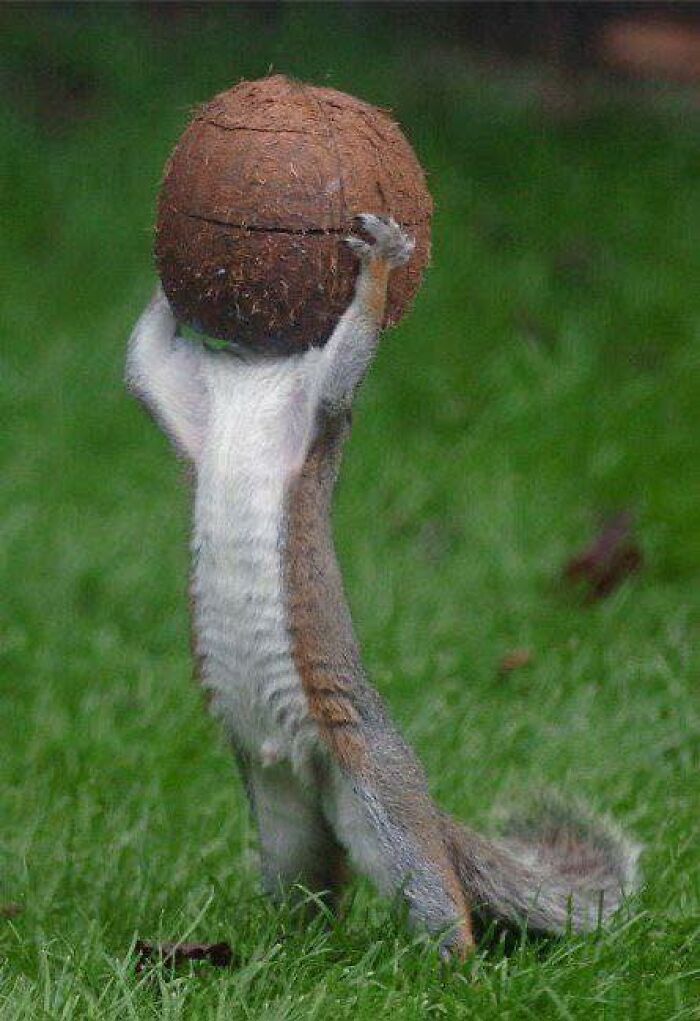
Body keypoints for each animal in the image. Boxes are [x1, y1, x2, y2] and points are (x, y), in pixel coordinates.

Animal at [126, 214, 639, 959]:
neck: (257, 378)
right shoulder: (190, 405)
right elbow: (144, 364)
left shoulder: (321, 413)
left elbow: (345, 365)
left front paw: (380, 267)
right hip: (284, 820)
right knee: (313, 890)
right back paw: (287, 947)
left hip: (376, 795)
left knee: (438, 895)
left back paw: (450, 965)